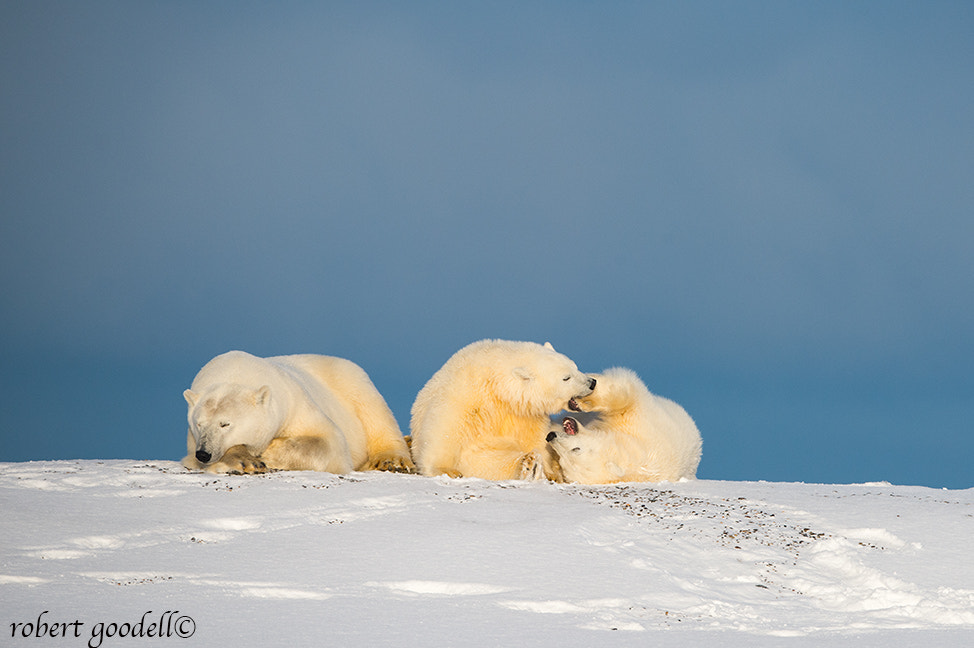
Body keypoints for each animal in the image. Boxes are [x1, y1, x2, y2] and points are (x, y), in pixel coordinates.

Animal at [183, 352, 416, 474]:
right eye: (199, 424)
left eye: (225, 423)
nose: (204, 453)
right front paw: (244, 460)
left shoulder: (294, 402)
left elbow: (329, 441)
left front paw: (267, 453)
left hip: (352, 381)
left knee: (376, 414)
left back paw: (390, 460)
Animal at [410, 340, 600, 480]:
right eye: (566, 378)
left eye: (575, 366)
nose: (592, 382)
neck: (498, 388)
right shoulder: (466, 394)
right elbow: (445, 428)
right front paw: (446, 469)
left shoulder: (524, 412)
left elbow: (535, 438)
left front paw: (550, 472)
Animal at [548, 368, 700, 484]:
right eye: (562, 461)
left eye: (575, 450)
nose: (551, 436)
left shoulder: (643, 425)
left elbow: (625, 393)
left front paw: (583, 402)